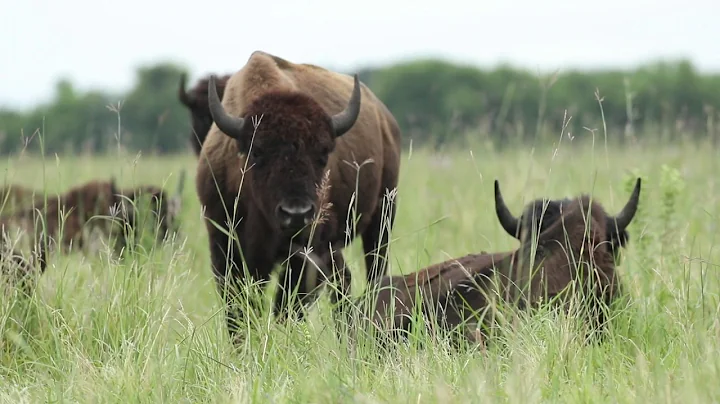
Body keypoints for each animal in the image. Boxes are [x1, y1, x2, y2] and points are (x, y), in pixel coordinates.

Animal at [194, 49, 402, 340]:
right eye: (257, 152)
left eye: (323, 153)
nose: (296, 213)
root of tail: (386, 121)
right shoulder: (226, 248)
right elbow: (240, 311)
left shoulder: (305, 255)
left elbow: (285, 309)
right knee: (343, 282)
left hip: (382, 217)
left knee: (372, 273)